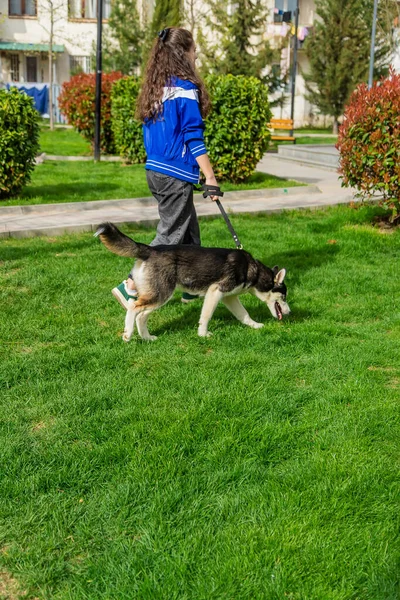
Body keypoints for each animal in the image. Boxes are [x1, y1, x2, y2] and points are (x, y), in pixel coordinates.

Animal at [96, 221, 290, 342]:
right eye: (284, 297)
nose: (289, 313)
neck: (252, 269)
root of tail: (150, 250)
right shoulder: (215, 291)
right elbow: (206, 316)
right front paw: (203, 334)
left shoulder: (229, 297)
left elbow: (244, 315)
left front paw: (255, 325)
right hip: (161, 294)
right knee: (133, 307)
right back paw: (128, 335)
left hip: (157, 296)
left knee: (141, 315)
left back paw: (147, 338)